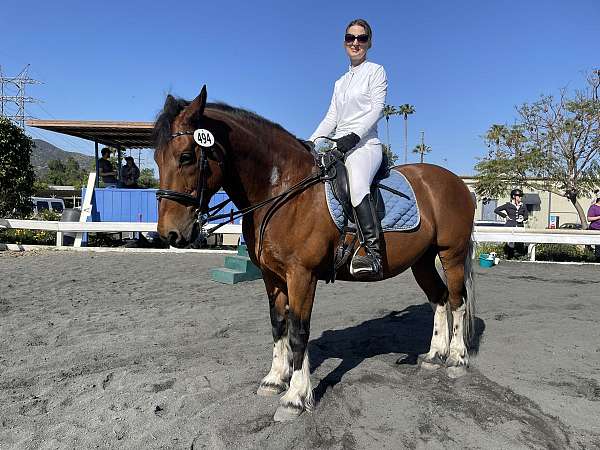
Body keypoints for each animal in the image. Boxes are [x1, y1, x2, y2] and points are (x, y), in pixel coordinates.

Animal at [152, 87, 476, 422]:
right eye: (156, 158)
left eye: (186, 156)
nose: (170, 233)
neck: (282, 190)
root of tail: (456, 182)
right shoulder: (272, 276)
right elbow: (278, 326)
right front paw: (274, 379)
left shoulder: (302, 276)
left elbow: (299, 331)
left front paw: (295, 397)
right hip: (422, 261)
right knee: (439, 299)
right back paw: (434, 355)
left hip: (451, 254)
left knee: (457, 300)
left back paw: (456, 359)